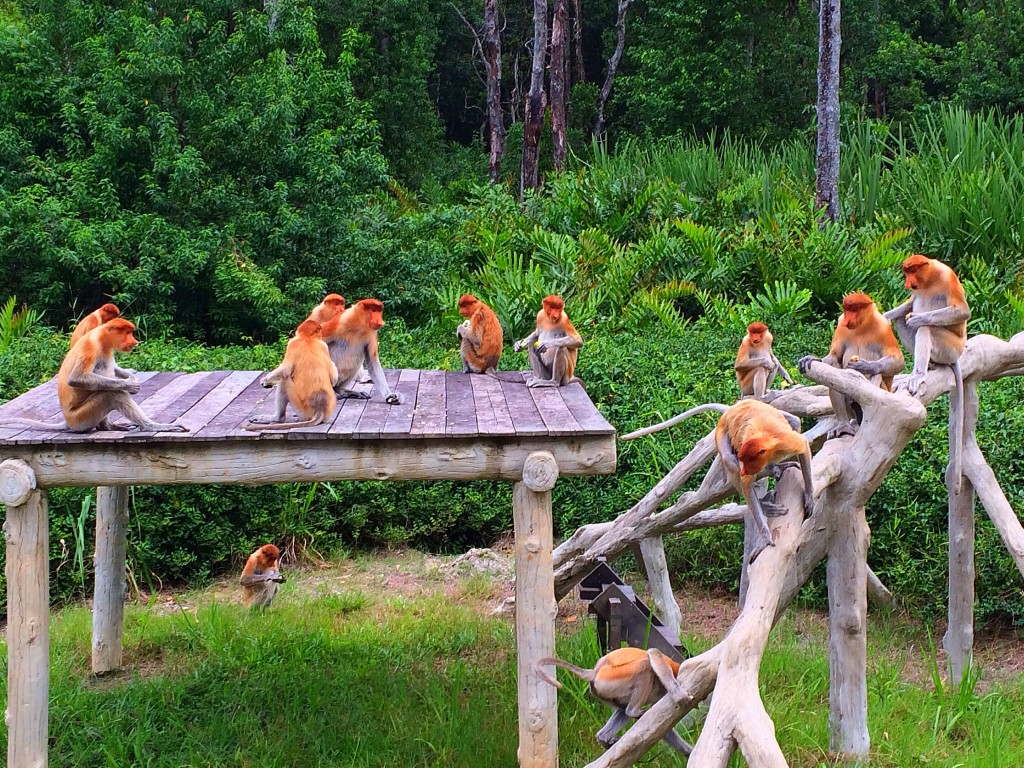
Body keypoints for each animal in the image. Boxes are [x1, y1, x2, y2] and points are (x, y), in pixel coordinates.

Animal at [0, 317, 188, 434]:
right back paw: (150, 426)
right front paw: (130, 385)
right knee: (110, 394)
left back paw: (108, 426)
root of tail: (68, 421)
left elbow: (115, 368)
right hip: (82, 418)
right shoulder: (90, 347)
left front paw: (130, 374)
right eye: (127, 333)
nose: (134, 341)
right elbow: (77, 378)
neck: (102, 337)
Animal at [532, 651, 692, 757]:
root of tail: (595, 671)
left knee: (622, 710)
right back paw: (633, 711)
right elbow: (654, 654)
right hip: (615, 677)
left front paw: (688, 752)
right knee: (646, 667)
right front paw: (678, 694)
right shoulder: (670, 666)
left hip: (607, 690)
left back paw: (604, 737)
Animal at [618, 399, 811, 561]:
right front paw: (765, 539)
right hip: (722, 430)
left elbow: (803, 446)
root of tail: (733, 409)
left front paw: (809, 499)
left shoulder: (786, 441)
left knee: (794, 420)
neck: (767, 442)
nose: (744, 469)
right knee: (729, 460)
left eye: (750, 459)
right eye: (745, 459)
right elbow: (745, 482)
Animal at [794, 292, 901, 438]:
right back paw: (844, 426)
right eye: (846, 310)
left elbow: (899, 361)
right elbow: (835, 356)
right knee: (835, 374)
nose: (847, 320)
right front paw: (812, 358)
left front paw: (866, 366)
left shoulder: (883, 326)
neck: (862, 326)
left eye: (854, 309)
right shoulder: (840, 324)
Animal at [880, 252, 966, 493]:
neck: (929, 278)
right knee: (902, 320)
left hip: (949, 348)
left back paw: (919, 374)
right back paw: (930, 366)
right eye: (906, 272)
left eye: (912, 271)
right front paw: (884, 316)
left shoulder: (947, 277)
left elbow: (962, 311)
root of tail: (956, 356)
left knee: (926, 329)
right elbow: (909, 304)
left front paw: (917, 318)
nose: (908, 283)